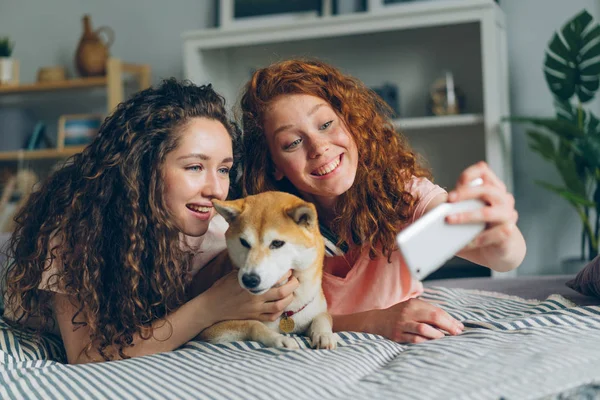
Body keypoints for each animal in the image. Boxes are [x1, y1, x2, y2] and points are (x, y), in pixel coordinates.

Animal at [198, 191, 336, 350]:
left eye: (277, 243)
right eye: (244, 242)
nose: (249, 279)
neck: (287, 311)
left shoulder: (315, 310)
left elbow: (322, 317)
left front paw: (324, 335)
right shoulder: (210, 330)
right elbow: (253, 324)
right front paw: (279, 339)